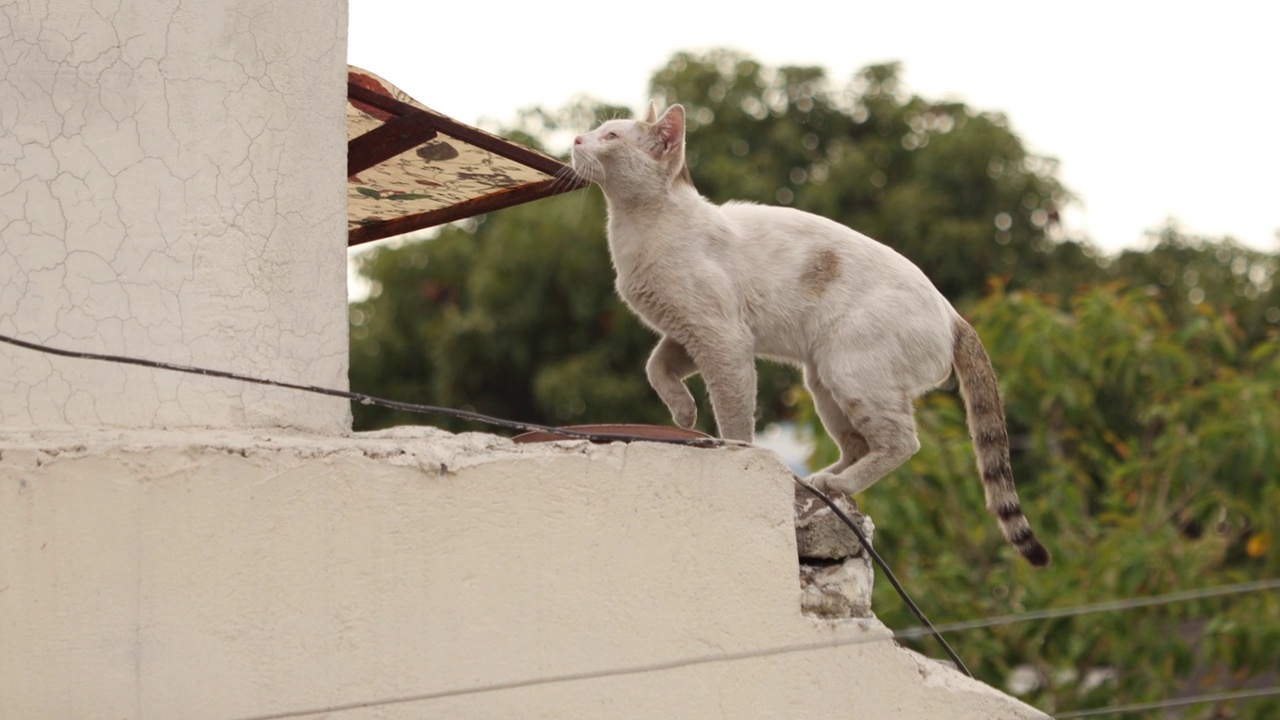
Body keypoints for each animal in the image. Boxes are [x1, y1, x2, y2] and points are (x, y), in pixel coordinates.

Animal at [573, 101, 1049, 563]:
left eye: (610, 136)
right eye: (596, 131)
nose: (576, 139)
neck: (634, 231)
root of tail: (955, 317)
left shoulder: (723, 338)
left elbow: (733, 415)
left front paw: (732, 448)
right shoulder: (688, 334)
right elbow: (656, 367)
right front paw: (684, 413)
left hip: (848, 372)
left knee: (902, 443)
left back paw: (838, 485)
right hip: (822, 382)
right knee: (858, 445)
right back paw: (819, 480)